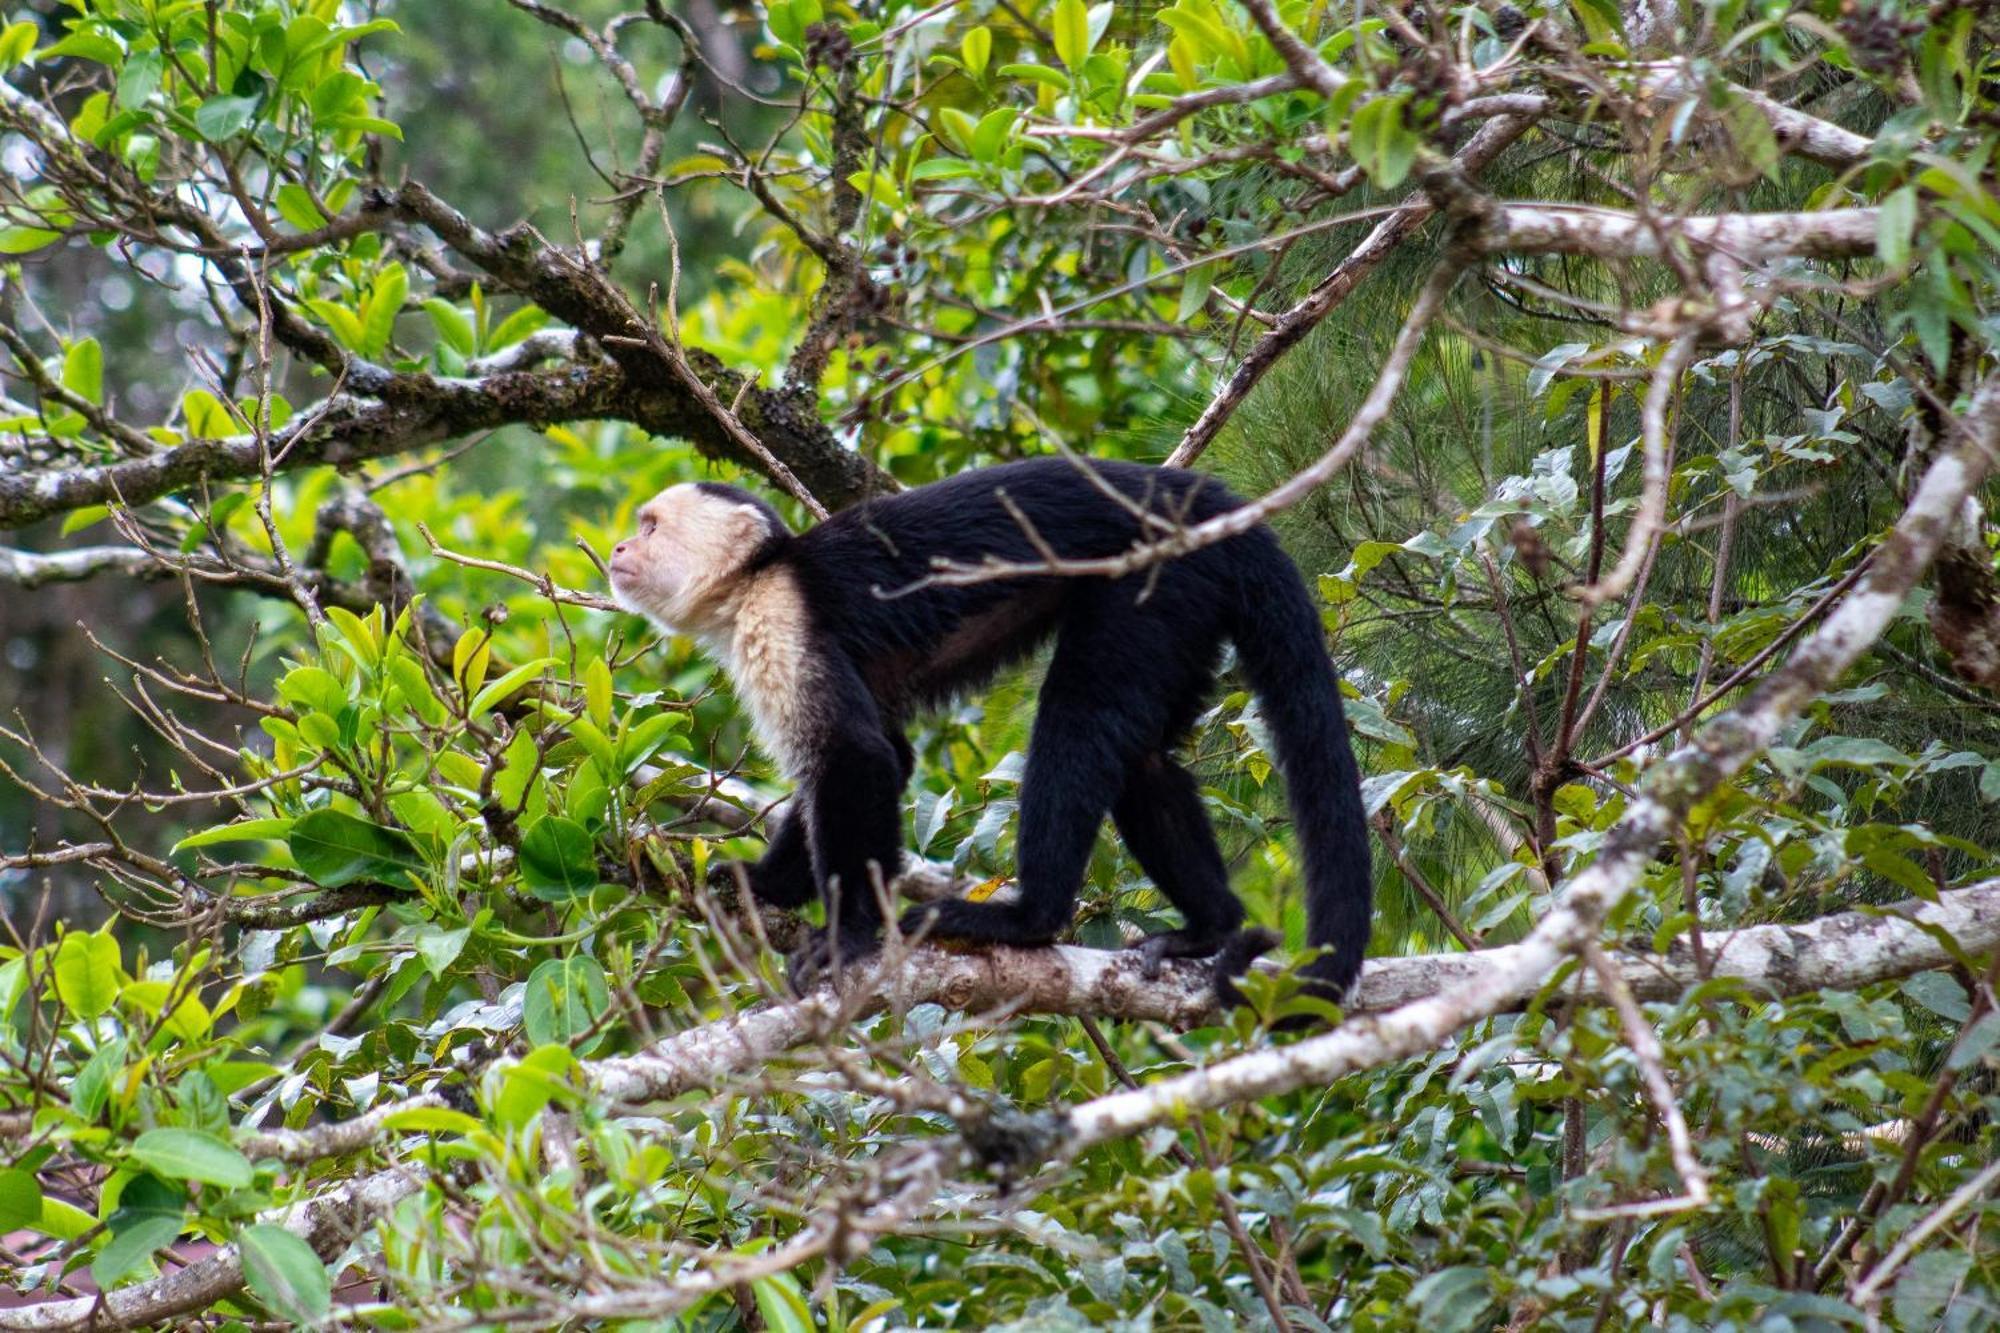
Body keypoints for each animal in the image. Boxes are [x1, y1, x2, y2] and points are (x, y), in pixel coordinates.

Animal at [608, 460, 1376, 1008]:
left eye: (650, 526)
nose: (617, 545)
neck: (758, 575)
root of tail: (1209, 498)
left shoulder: (781, 617)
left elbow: (855, 758)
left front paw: (846, 935)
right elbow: (888, 754)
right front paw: (763, 883)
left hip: (1158, 569)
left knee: (1079, 714)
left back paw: (1029, 918)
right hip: (1190, 596)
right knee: (1142, 759)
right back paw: (1209, 927)